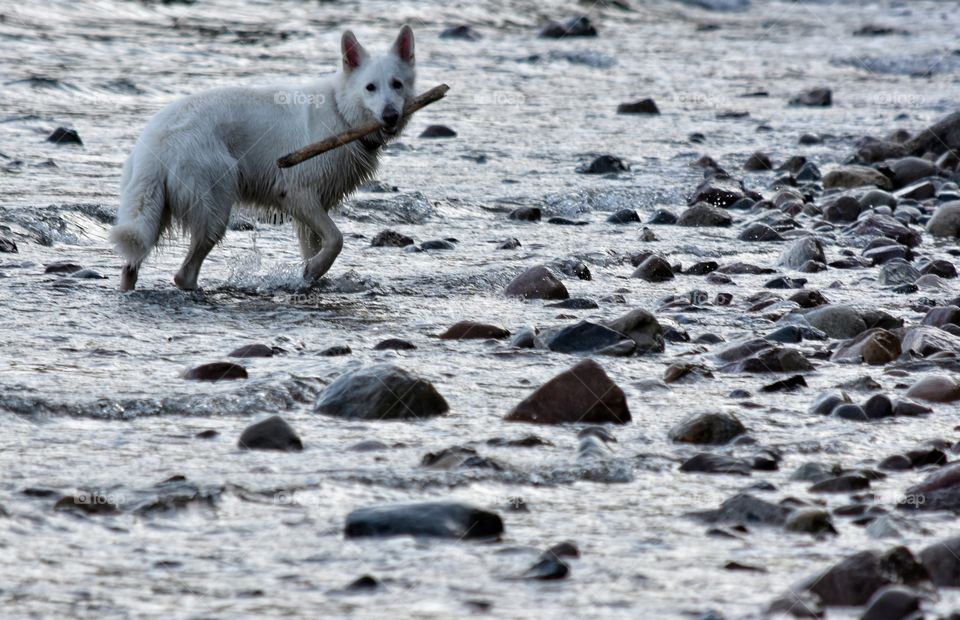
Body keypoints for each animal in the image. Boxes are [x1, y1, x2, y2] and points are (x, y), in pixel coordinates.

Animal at [109, 25, 416, 292]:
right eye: (370, 87)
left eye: (397, 85)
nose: (390, 116)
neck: (341, 112)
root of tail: (156, 142)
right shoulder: (297, 195)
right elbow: (337, 240)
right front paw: (314, 270)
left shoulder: (312, 210)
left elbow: (317, 246)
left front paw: (311, 276)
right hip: (214, 211)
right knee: (183, 274)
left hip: (154, 212)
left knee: (131, 266)